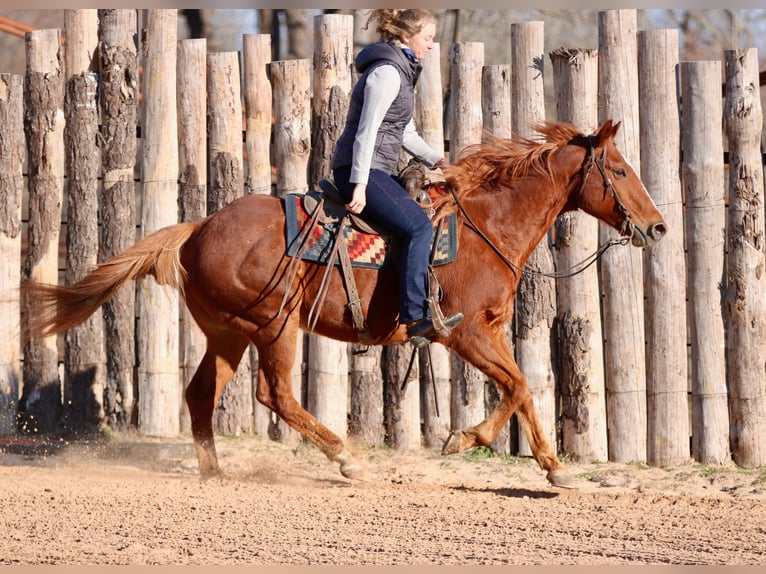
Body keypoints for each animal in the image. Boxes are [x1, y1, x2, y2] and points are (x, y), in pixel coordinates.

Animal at [22, 119, 666, 488]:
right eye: (619, 169)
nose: (658, 227)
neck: (485, 225)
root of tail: (199, 227)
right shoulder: (462, 332)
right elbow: (518, 385)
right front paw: (466, 440)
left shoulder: (488, 331)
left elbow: (522, 387)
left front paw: (554, 468)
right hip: (273, 325)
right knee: (275, 394)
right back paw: (346, 459)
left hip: (228, 332)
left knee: (201, 393)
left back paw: (214, 472)